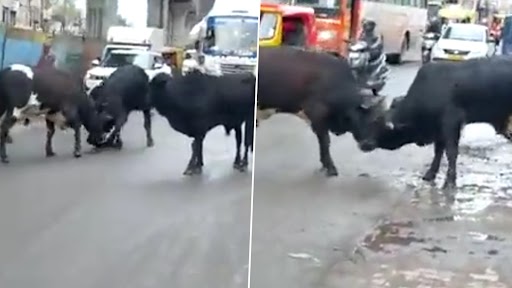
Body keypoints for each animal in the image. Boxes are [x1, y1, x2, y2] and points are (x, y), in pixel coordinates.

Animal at [376, 56, 512, 189]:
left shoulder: (451, 123)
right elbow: (438, 151)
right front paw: (430, 174)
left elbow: (451, 152)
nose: (370, 143)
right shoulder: (439, 130)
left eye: (384, 128)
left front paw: (450, 181)